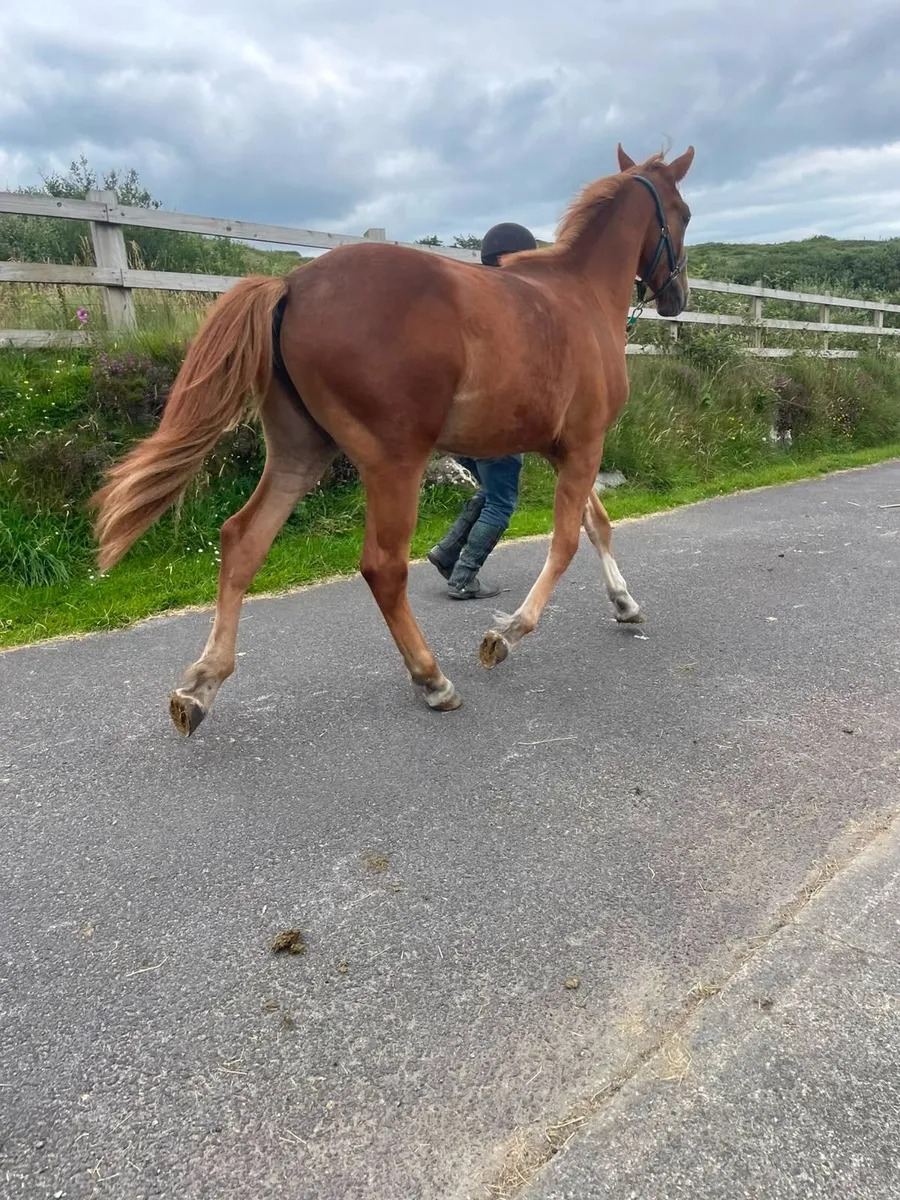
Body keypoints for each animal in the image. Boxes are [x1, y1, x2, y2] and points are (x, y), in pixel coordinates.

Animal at [89, 143, 695, 736]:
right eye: (685, 214)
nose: (678, 298)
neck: (579, 297)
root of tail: (292, 284)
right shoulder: (585, 444)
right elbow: (567, 539)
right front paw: (507, 634)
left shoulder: (563, 449)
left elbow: (597, 525)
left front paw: (625, 604)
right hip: (394, 463)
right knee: (383, 567)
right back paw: (432, 679)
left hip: (299, 452)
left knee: (242, 540)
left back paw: (200, 685)